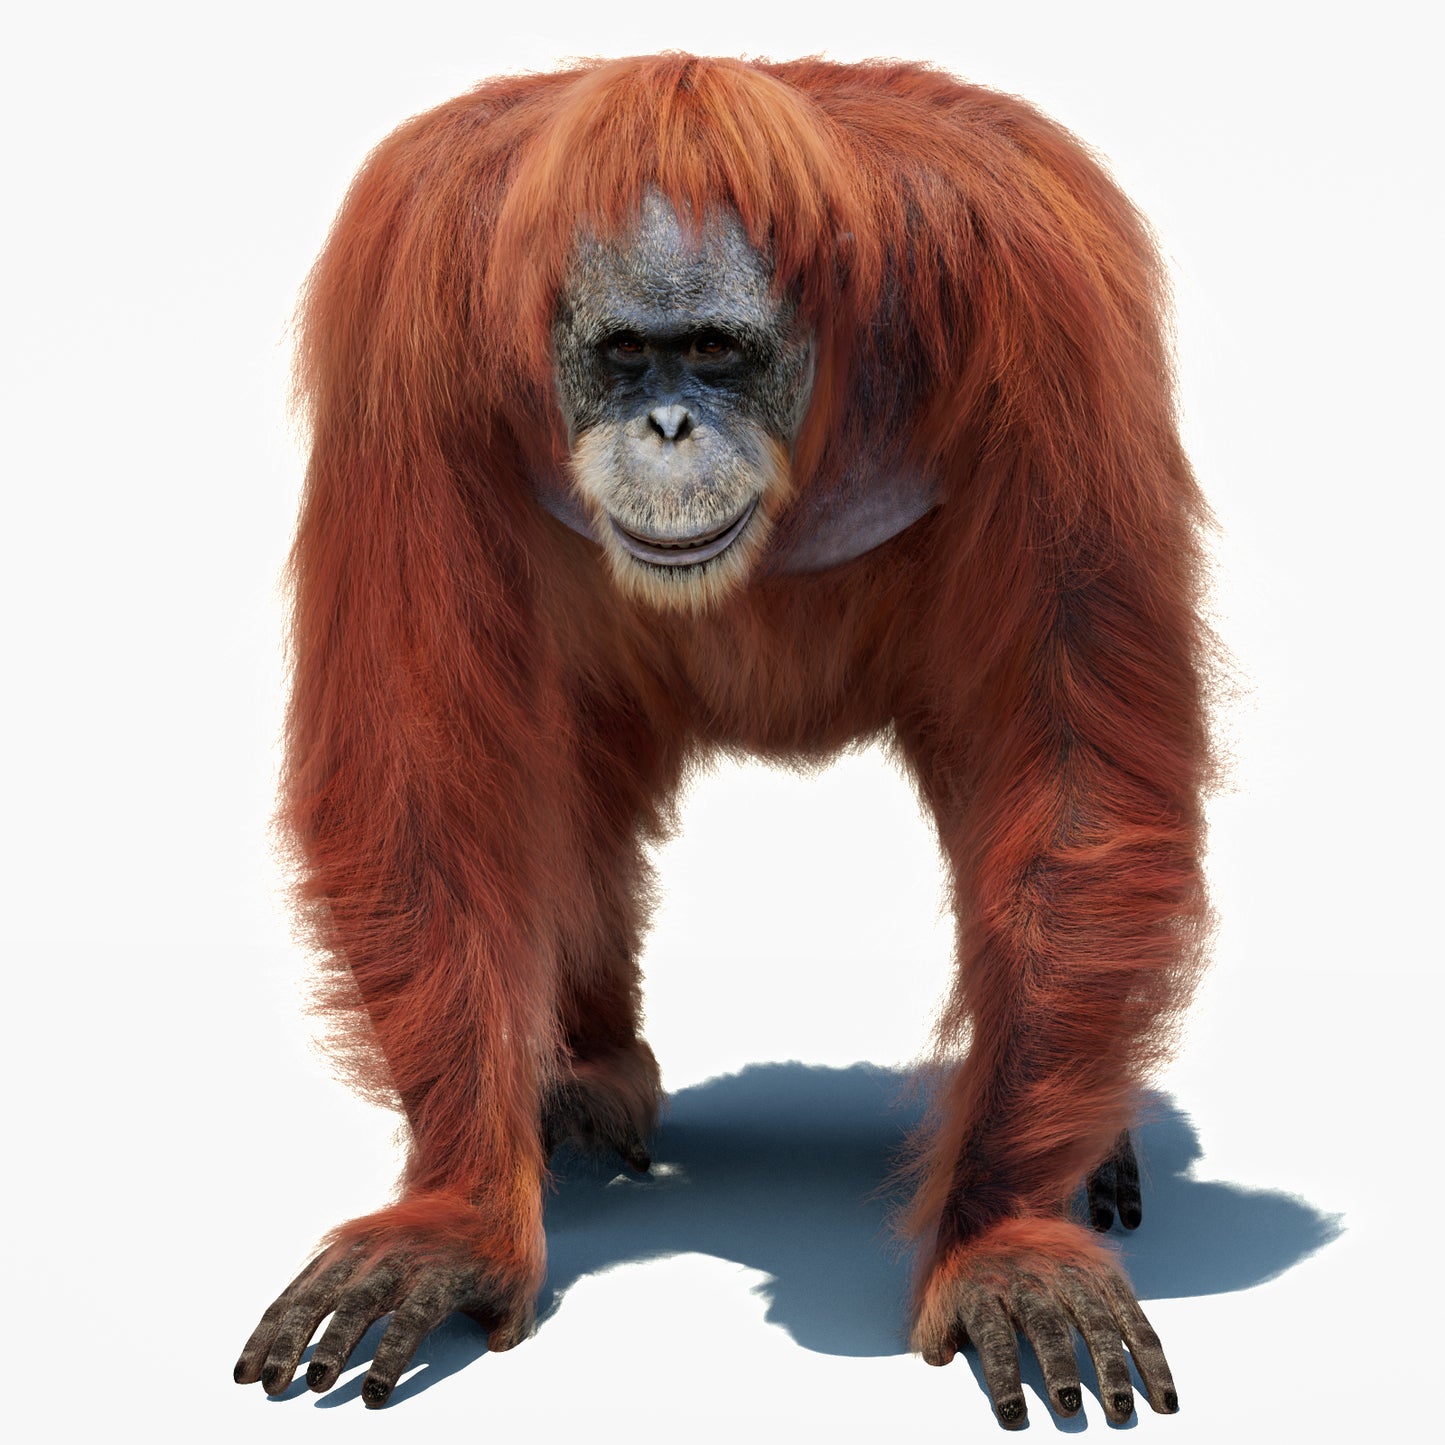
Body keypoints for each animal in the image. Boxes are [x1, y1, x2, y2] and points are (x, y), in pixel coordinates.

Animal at [234, 55, 1211, 1429]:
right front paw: (456, 1221)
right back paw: (578, 1082)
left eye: (709, 352)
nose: (668, 430)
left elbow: (1070, 763)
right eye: (625, 356)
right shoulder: (405, 299)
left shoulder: (1047, 295)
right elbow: (418, 761)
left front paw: (1001, 1239)